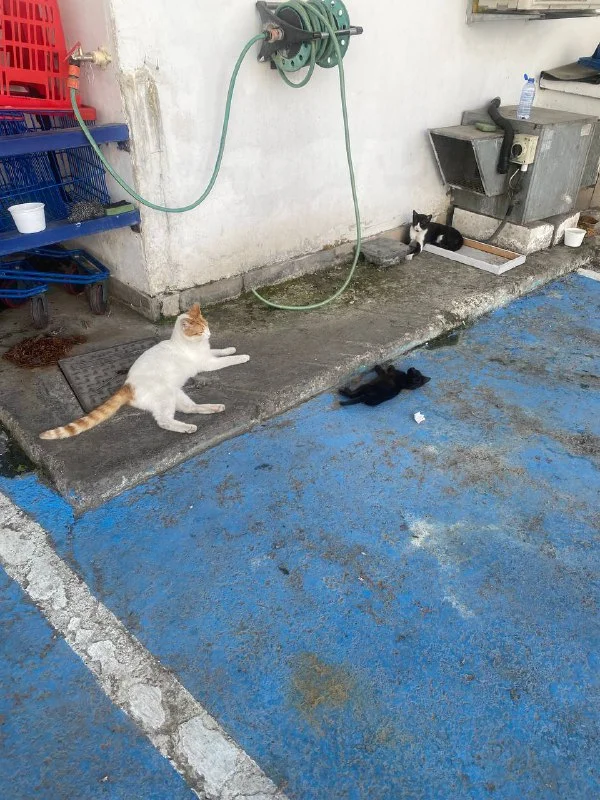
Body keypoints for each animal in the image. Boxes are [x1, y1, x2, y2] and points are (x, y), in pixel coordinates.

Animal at [40, 304, 249, 439]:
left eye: (207, 325)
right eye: (200, 331)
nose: (209, 334)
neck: (186, 343)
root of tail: (127, 384)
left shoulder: (208, 354)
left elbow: (221, 351)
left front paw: (230, 348)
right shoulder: (207, 363)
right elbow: (227, 360)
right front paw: (243, 356)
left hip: (176, 393)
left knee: (189, 408)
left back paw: (213, 408)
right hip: (166, 396)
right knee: (164, 421)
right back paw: (187, 427)